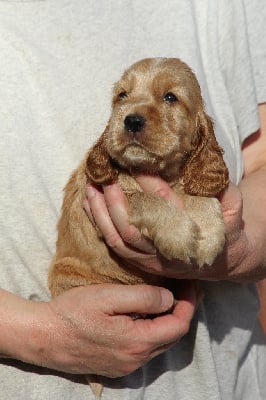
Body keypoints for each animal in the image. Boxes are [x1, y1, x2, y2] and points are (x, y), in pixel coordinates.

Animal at [47, 56, 229, 396]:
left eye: (170, 97)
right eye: (122, 96)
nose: (130, 120)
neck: (159, 172)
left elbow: (201, 196)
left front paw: (210, 233)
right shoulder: (108, 196)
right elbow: (149, 201)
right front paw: (178, 234)